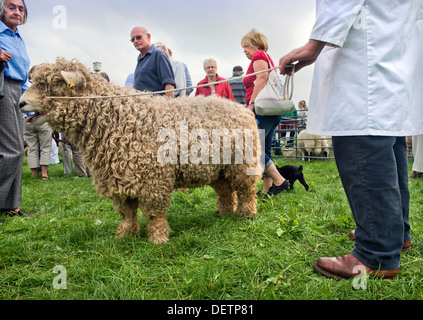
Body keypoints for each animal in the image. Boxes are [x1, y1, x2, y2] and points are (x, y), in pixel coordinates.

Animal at [20, 57, 264, 244]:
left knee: (246, 189)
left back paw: (246, 213)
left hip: (242, 162)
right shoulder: (119, 176)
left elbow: (155, 213)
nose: (21, 103)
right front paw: (125, 235)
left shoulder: (154, 178)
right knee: (225, 191)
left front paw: (158, 238)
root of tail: (241, 109)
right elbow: (126, 212)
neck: (118, 118)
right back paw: (224, 212)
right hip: (218, 167)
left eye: (53, 84)